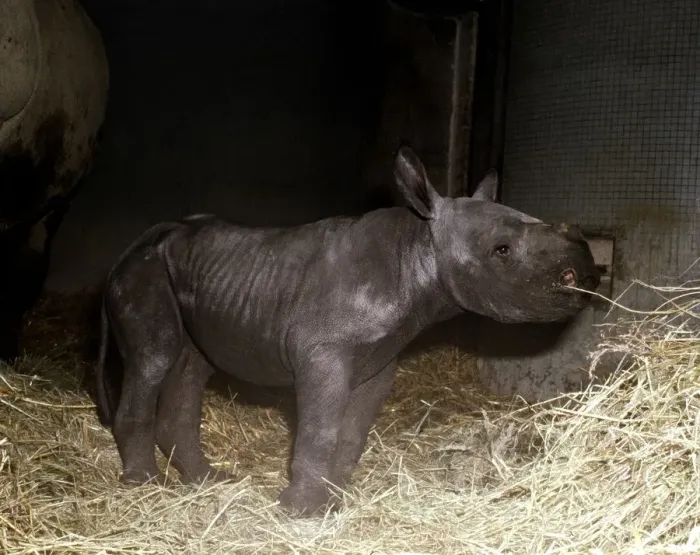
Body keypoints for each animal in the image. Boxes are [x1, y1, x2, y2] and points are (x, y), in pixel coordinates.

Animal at [95, 145, 600, 516]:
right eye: (502, 250)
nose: (585, 274)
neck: (418, 248)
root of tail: (129, 250)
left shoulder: (379, 358)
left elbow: (352, 432)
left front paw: (333, 501)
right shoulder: (324, 353)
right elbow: (320, 428)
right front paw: (298, 510)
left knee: (191, 367)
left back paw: (206, 480)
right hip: (145, 274)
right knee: (155, 357)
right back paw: (146, 485)